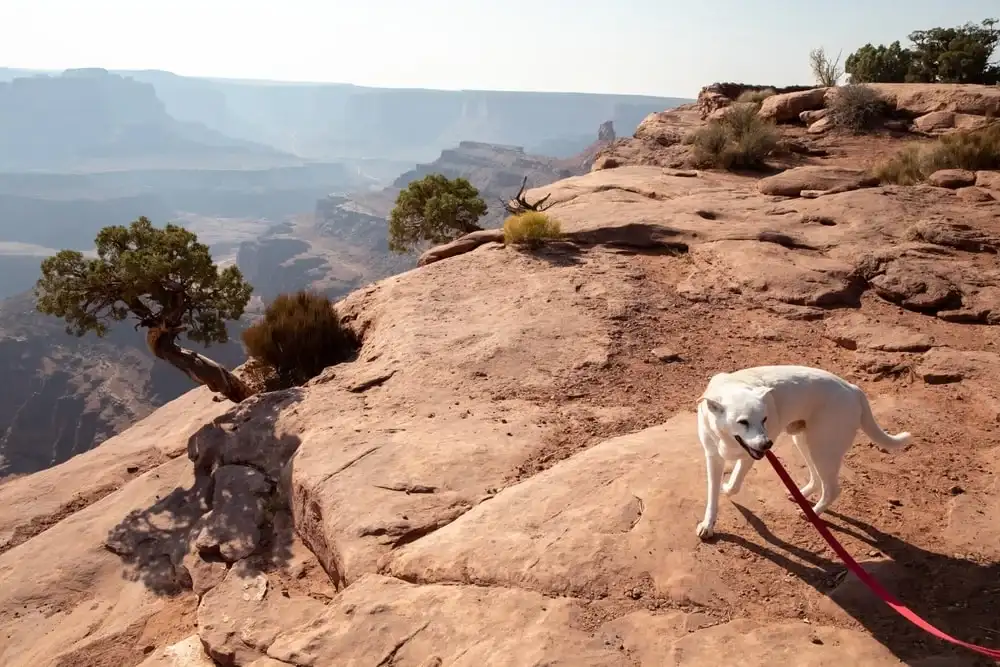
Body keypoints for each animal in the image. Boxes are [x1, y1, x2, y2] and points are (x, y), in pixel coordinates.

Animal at [692, 366, 912, 544]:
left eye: (764, 419)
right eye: (743, 422)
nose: (767, 444)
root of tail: (852, 389)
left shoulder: (748, 456)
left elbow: (734, 484)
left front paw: (726, 488)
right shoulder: (713, 457)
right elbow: (713, 494)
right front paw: (708, 525)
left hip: (823, 449)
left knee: (832, 489)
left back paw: (813, 513)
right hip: (805, 442)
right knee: (817, 478)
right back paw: (802, 495)